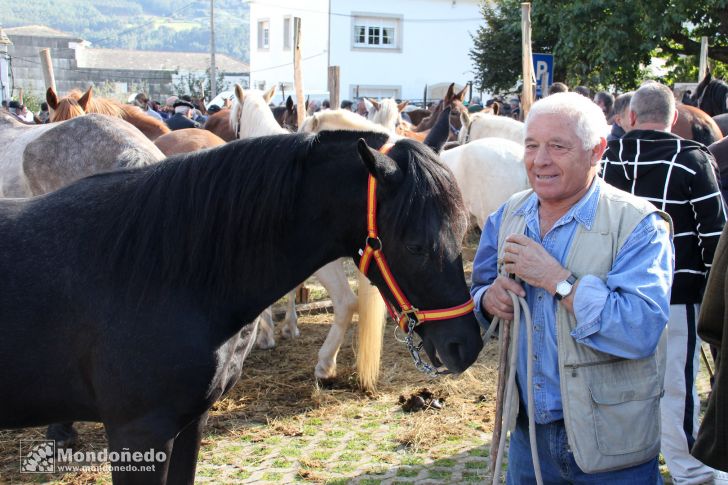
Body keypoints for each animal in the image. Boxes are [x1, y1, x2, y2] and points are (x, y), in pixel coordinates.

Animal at [1, 127, 484, 480]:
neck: (159, 271)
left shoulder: (188, 424)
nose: (467, 345)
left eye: (463, 229)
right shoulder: (138, 433)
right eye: (416, 245)